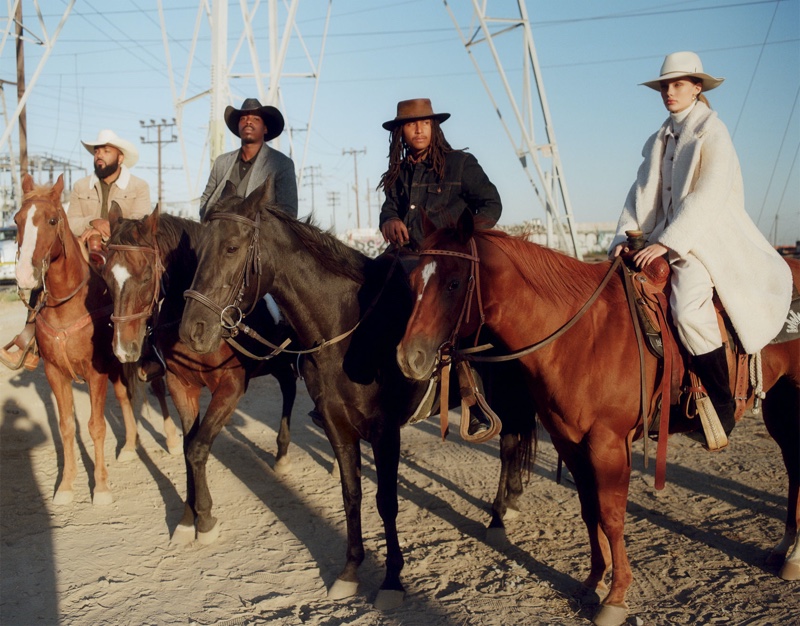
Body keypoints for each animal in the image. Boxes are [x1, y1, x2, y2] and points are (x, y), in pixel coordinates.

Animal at [12, 173, 178, 504]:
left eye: (52, 219)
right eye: (16, 219)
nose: (24, 274)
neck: (66, 307)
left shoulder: (96, 372)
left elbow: (96, 426)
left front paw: (100, 488)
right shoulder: (55, 373)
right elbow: (66, 427)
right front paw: (65, 486)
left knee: (156, 387)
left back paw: (172, 440)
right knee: (125, 396)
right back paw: (129, 446)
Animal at [102, 204, 296, 540]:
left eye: (146, 276)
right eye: (105, 277)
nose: (123, 348)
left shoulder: (230, 387)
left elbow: (197, 448)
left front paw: (203, 518)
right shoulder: (181, 386)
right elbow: (186, 446)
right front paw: (187, 518)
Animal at [176, 183, 536, 608]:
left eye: (232, 247)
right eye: (198, 250)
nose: (192, 330)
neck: (349, 329)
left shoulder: (385, 432)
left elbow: (386, 501)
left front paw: (392, 580)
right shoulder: (337, 426)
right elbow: (352, 495)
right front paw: (350, 572)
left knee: (510, 444)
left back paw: (498, 517)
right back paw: (509, 504)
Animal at [396, 210, 800, 624]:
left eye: (454, 283)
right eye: (412, 280)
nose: (408, 357)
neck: (582, 336)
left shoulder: (608, 444)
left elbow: (612, 515)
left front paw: (617, 595)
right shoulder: (569, 442)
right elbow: (589, 510)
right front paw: (593, 580)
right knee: (795, 466)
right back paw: (786, 548)